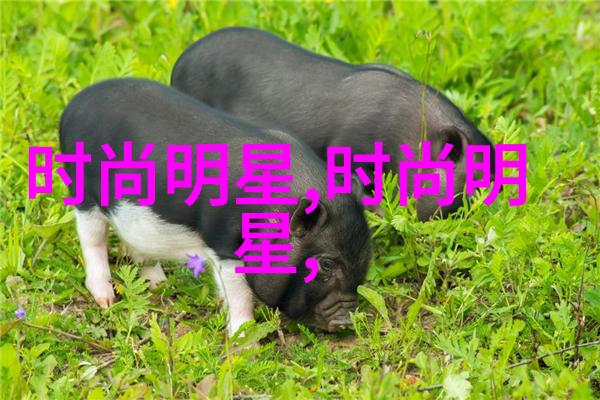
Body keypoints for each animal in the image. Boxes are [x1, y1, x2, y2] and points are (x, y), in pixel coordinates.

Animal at [59, 78, 371, 335]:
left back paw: (159, 283)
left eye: (366, 255)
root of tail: (73, 105)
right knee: (92, 240)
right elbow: (240, 295)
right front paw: (245, 340)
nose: (346, 320)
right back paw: (106, 299)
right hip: (83, 194)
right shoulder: (224, 245)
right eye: (326, 264)